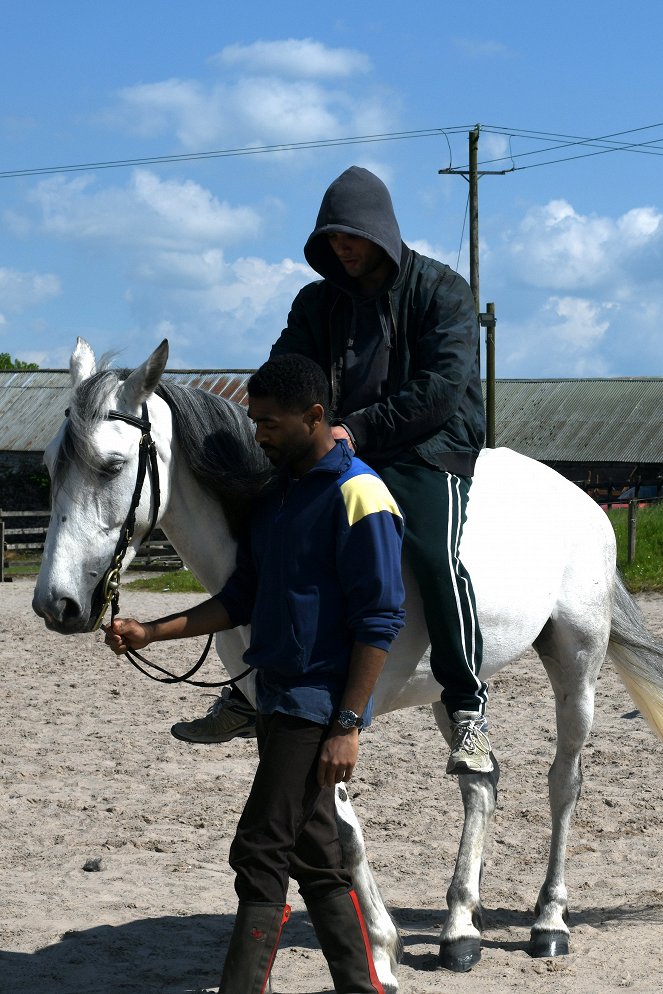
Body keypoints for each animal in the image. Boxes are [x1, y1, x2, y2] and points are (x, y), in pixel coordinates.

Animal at [35, 338, 663, 988]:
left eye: (111, 466)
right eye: (52, 467)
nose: (57, 604)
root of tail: (582, 499)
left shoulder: (335, 718)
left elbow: (344, 832)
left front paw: (381, 954)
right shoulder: (279, 716)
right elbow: (328, 831)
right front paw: (379, 947)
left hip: (577, 659)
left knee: (564, 782)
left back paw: (549, 922)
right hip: (455, 686)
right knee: (481, 780)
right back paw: (460, 929)